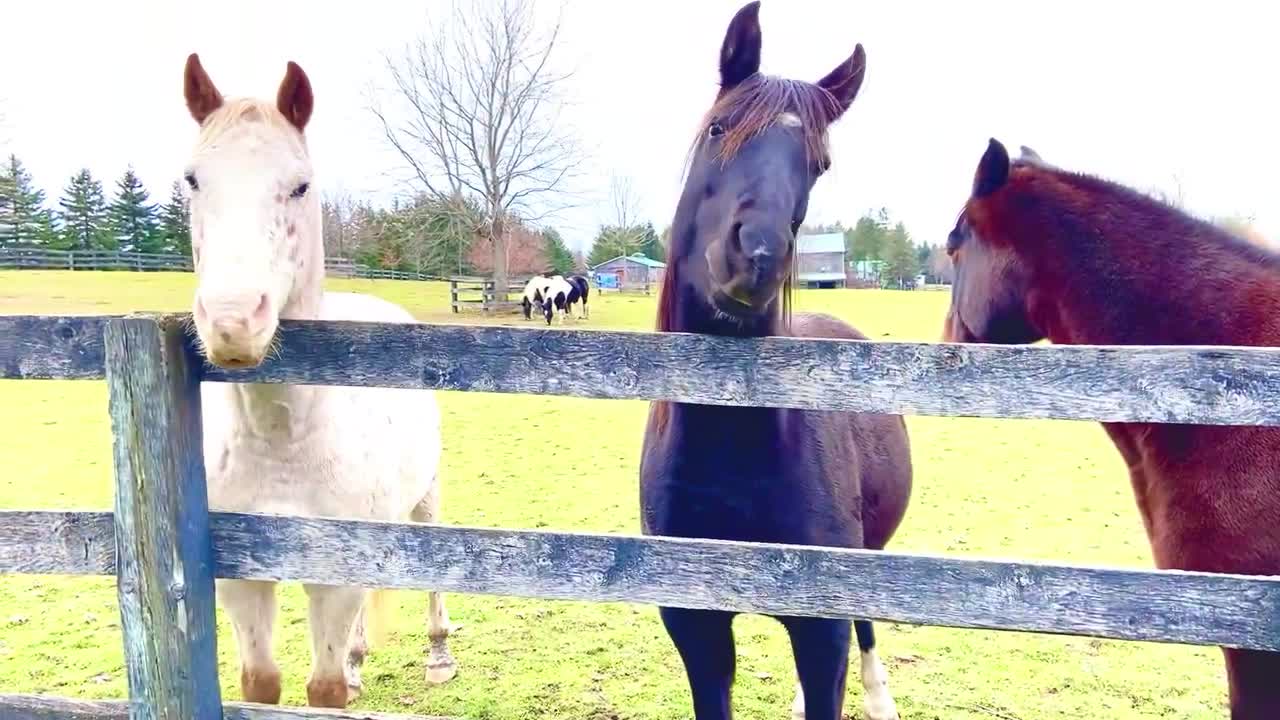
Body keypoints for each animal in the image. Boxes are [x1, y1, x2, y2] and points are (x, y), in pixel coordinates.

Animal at [179, 54, 460, 707]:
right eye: (193, 179)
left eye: (300, 185)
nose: (233, 322)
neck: (281, 441)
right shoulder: (242, 580)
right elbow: (261, 685)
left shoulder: (336, 575)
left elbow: (324, 691)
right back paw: (359, 660)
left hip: (426, 498)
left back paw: (438, 655)